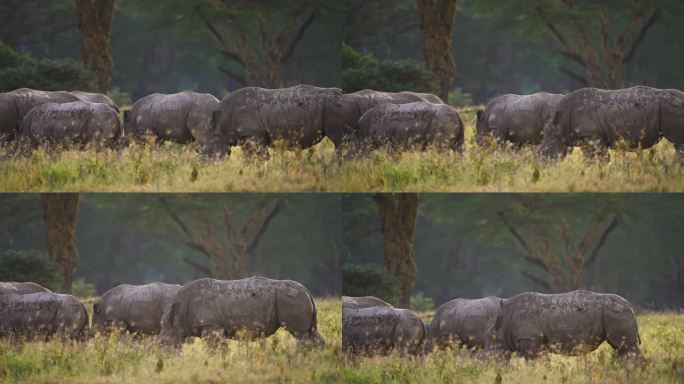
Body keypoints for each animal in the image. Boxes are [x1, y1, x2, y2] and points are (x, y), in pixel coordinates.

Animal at [159, 278, 324, 346]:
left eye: (164, 343)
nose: (165, 357)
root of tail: (307, 291)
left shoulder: (210, 325)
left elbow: (214, 347)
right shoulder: (212, 326)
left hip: (291, 297)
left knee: (299, 334)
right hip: (296, 297)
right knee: (311, 332)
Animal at [486, 292, 640, 360]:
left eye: (492, 339)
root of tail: (630, 305)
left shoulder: (528, 338)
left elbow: (530, 360)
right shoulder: (536, 341)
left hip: (616, 311)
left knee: (626, 346)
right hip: (613, 312)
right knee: (621, 349)